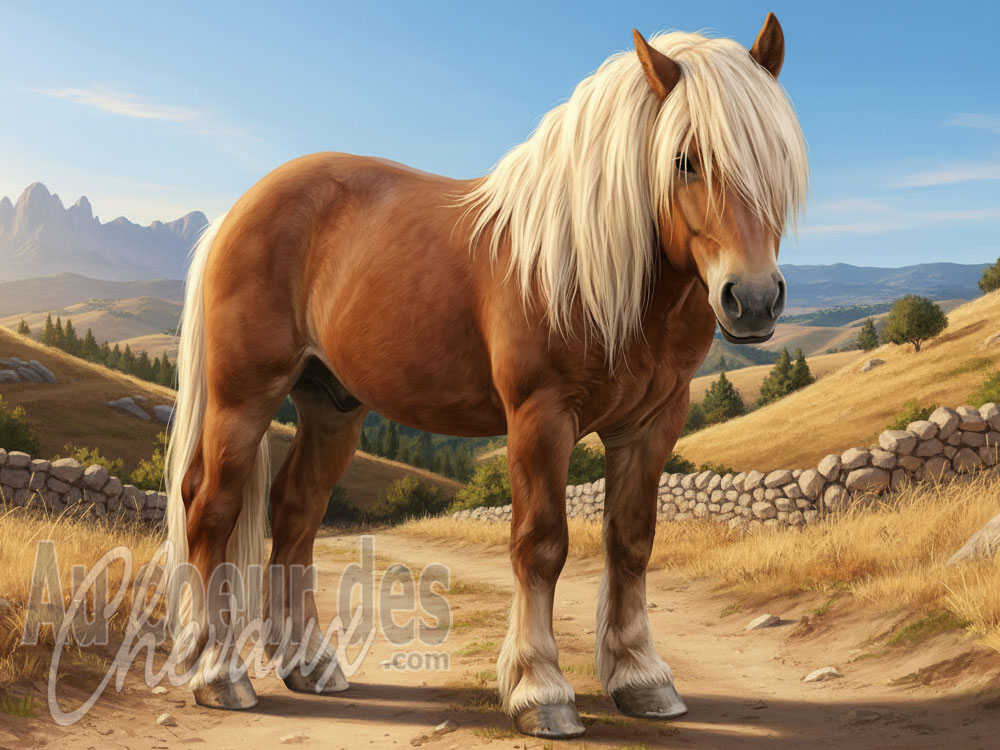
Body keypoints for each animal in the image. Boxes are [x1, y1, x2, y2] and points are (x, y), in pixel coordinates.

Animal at [165, 12, 806, 740]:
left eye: (778, 158)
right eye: (685, 159)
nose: (752, 299)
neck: (586, 264)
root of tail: (236, 211)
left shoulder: (651, 424)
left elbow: (631, 541)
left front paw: (642, 679)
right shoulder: (539, 416)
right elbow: (541, 544)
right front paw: (540, 691)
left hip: (331, 406)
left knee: (296, 511)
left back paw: (311, 666)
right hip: (242, 399)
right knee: (211, 509)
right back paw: (220, 674)